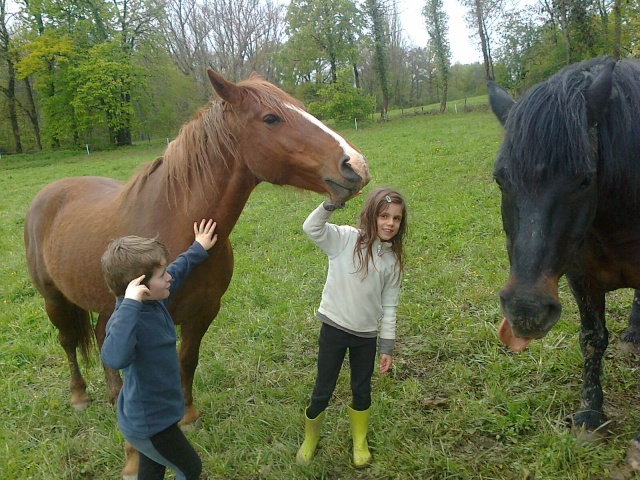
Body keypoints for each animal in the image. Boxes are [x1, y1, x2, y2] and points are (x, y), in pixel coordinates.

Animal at [23, 68, 370, 476]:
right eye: (271, 118)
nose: (355, 165)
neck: (173, 222)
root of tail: (49, 193)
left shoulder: (202, 312)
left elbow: (186, 361)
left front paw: (187, 416)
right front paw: (135, 454)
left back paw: (108, 394)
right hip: (54, 299)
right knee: (67, 341)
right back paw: (79, 396)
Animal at [484, 55, 640, 464]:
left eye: (585, 179)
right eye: (500, 179)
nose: (526, 310)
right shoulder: (581, 279)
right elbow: (592, 339)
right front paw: (589, 415)